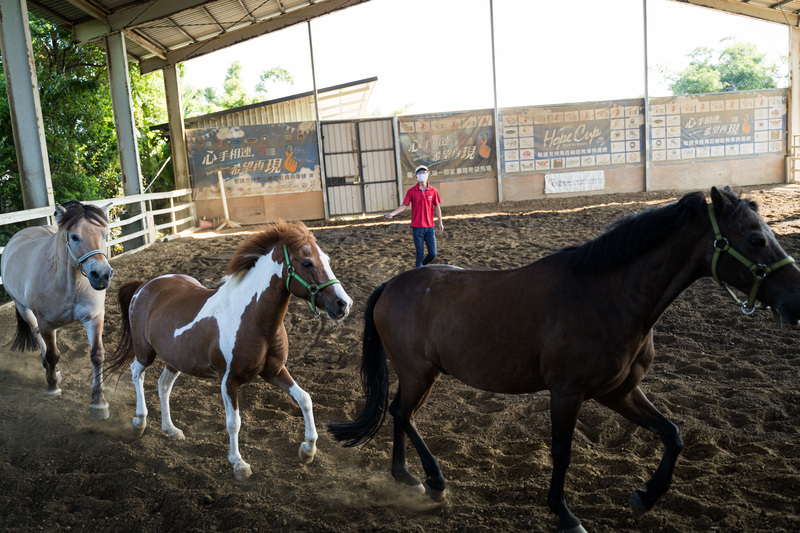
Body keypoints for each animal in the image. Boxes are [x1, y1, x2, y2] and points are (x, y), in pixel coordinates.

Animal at [0, 200, 114, 420]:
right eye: (75, 237)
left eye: (106, 234)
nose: (102, 275)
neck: (72, 283)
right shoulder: (46, 323)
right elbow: (53, 353)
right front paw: (52, 386)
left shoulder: (94, 318)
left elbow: (97, 355)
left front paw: (99, 401)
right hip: (23, 309)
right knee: (37, 336)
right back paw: (49, 371)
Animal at [106, 222, 354, 480]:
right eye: (307, 263)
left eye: (327, 259)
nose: (344, 304)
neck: (253, 318)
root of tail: (143, 286)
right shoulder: (229, 379)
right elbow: (234, 421)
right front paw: (239, 464)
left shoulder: (274, 371)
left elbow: (305, 399)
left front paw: (307, 451)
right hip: (145, 352)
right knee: (136, 373)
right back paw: (139, 423)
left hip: (175, 361)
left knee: (163, 386)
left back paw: (171, 430)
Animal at [328, 188, 800, 532]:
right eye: (755, 239)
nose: (795, 299)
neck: (609, 296)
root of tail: (392, 284)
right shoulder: (567, 392)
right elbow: (562, 451)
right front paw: (564, 514)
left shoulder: (618, 392)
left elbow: (673, 435)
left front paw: (645, 497)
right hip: (419, 374)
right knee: (401, 413)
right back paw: (434, 480)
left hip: (422, 375)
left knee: (398, 414)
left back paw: (407, 476)